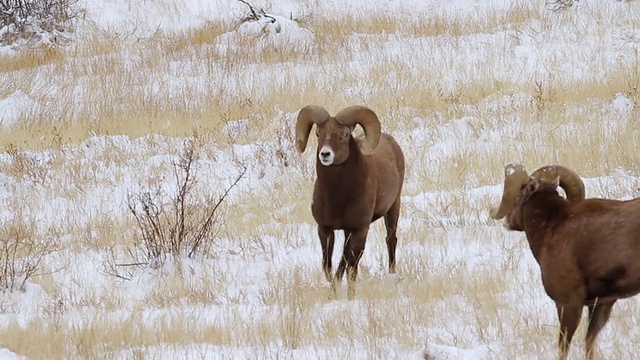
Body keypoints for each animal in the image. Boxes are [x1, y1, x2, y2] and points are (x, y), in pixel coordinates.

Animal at [296, 105, 404, 300]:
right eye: (318, 133)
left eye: (344, 135)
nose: (325, 154)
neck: (338, 198)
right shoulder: (325, 229)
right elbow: (328, 265)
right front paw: (333, 291)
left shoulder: (359, 229)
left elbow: (351, 267)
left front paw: (349, 296)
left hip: (393, 208)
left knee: (390, 240)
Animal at [490, 164, 640, 360]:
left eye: (517, 196)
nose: (507, 222)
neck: (553, 226)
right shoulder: (602, 304)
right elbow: (589, 342)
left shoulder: (568, 304)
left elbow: (563, 348)